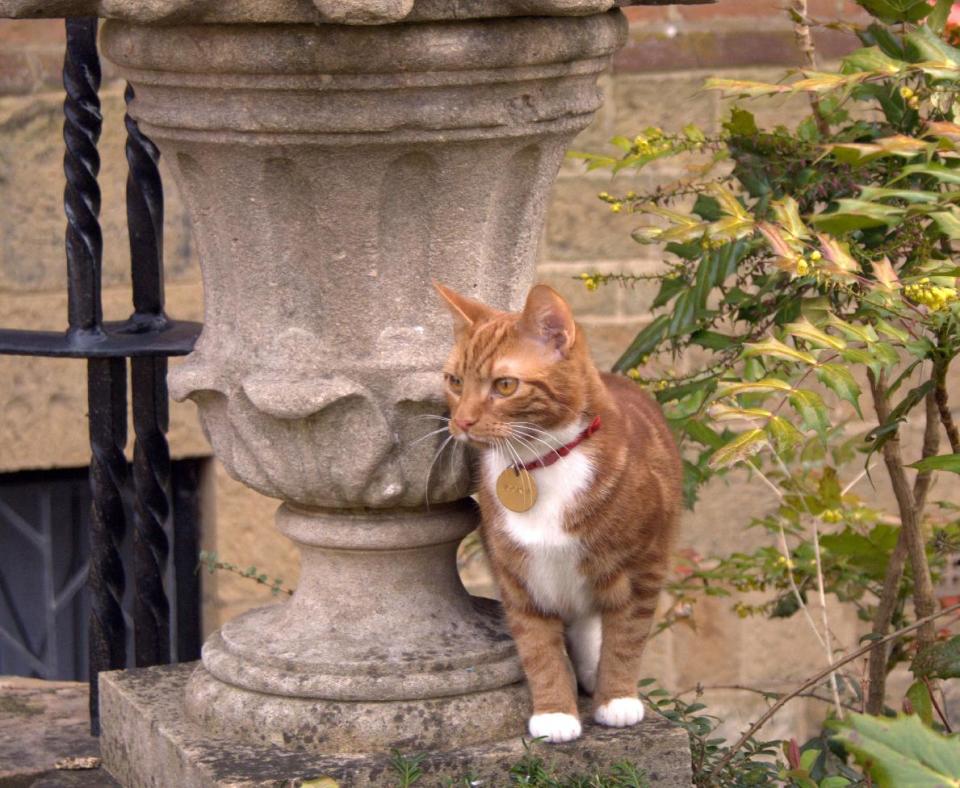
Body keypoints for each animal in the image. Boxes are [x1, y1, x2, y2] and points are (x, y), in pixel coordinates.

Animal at [436, 284, 684, 744]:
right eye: (455, 381)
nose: (461, 421)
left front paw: (616, 699)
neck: (539, 464)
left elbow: (627, 638)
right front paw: (554, 712)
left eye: (505, 385)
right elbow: (537, 647)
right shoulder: (518, 577)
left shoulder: (643, 568)